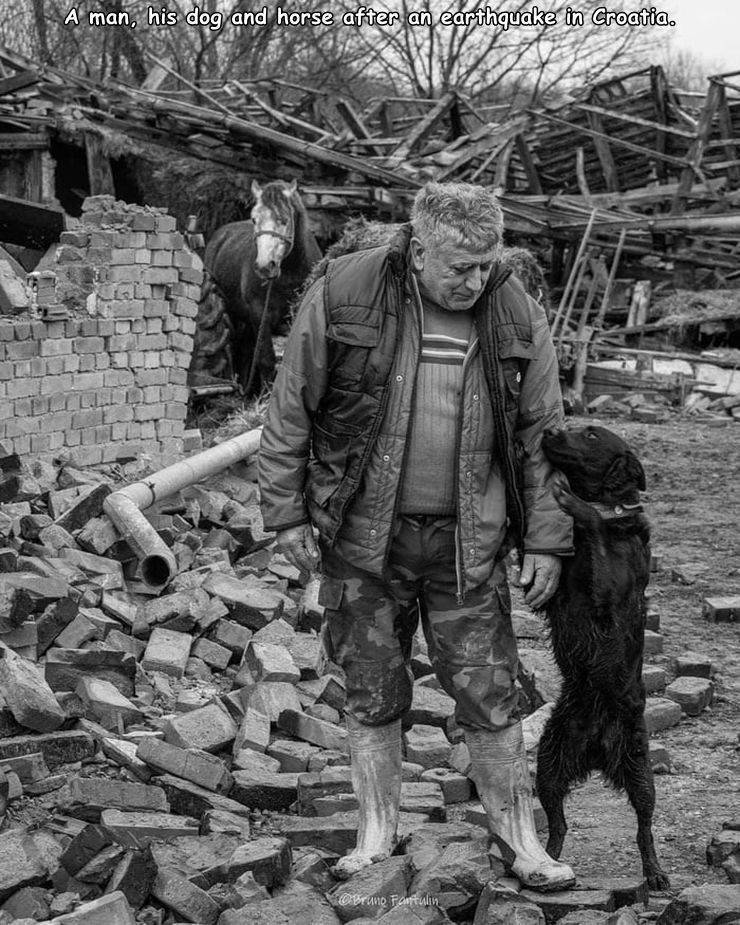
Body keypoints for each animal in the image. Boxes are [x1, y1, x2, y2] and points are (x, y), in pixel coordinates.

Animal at [198, 180, 322, 398]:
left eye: (283, 219)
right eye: (254, 219)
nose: (265, 266)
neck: (289, 273)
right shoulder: (259, 315)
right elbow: (266, 359)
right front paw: (265, 397)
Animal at [532, 424, 672, 888]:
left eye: (591, 435)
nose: (549, 429)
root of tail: (595, 749)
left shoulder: (609, 589)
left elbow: (591, 521)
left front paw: (569, 500)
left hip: (639, 767)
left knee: (644, 826)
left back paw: (655, 873)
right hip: (549, 760)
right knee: (558, 822)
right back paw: (550, 861)